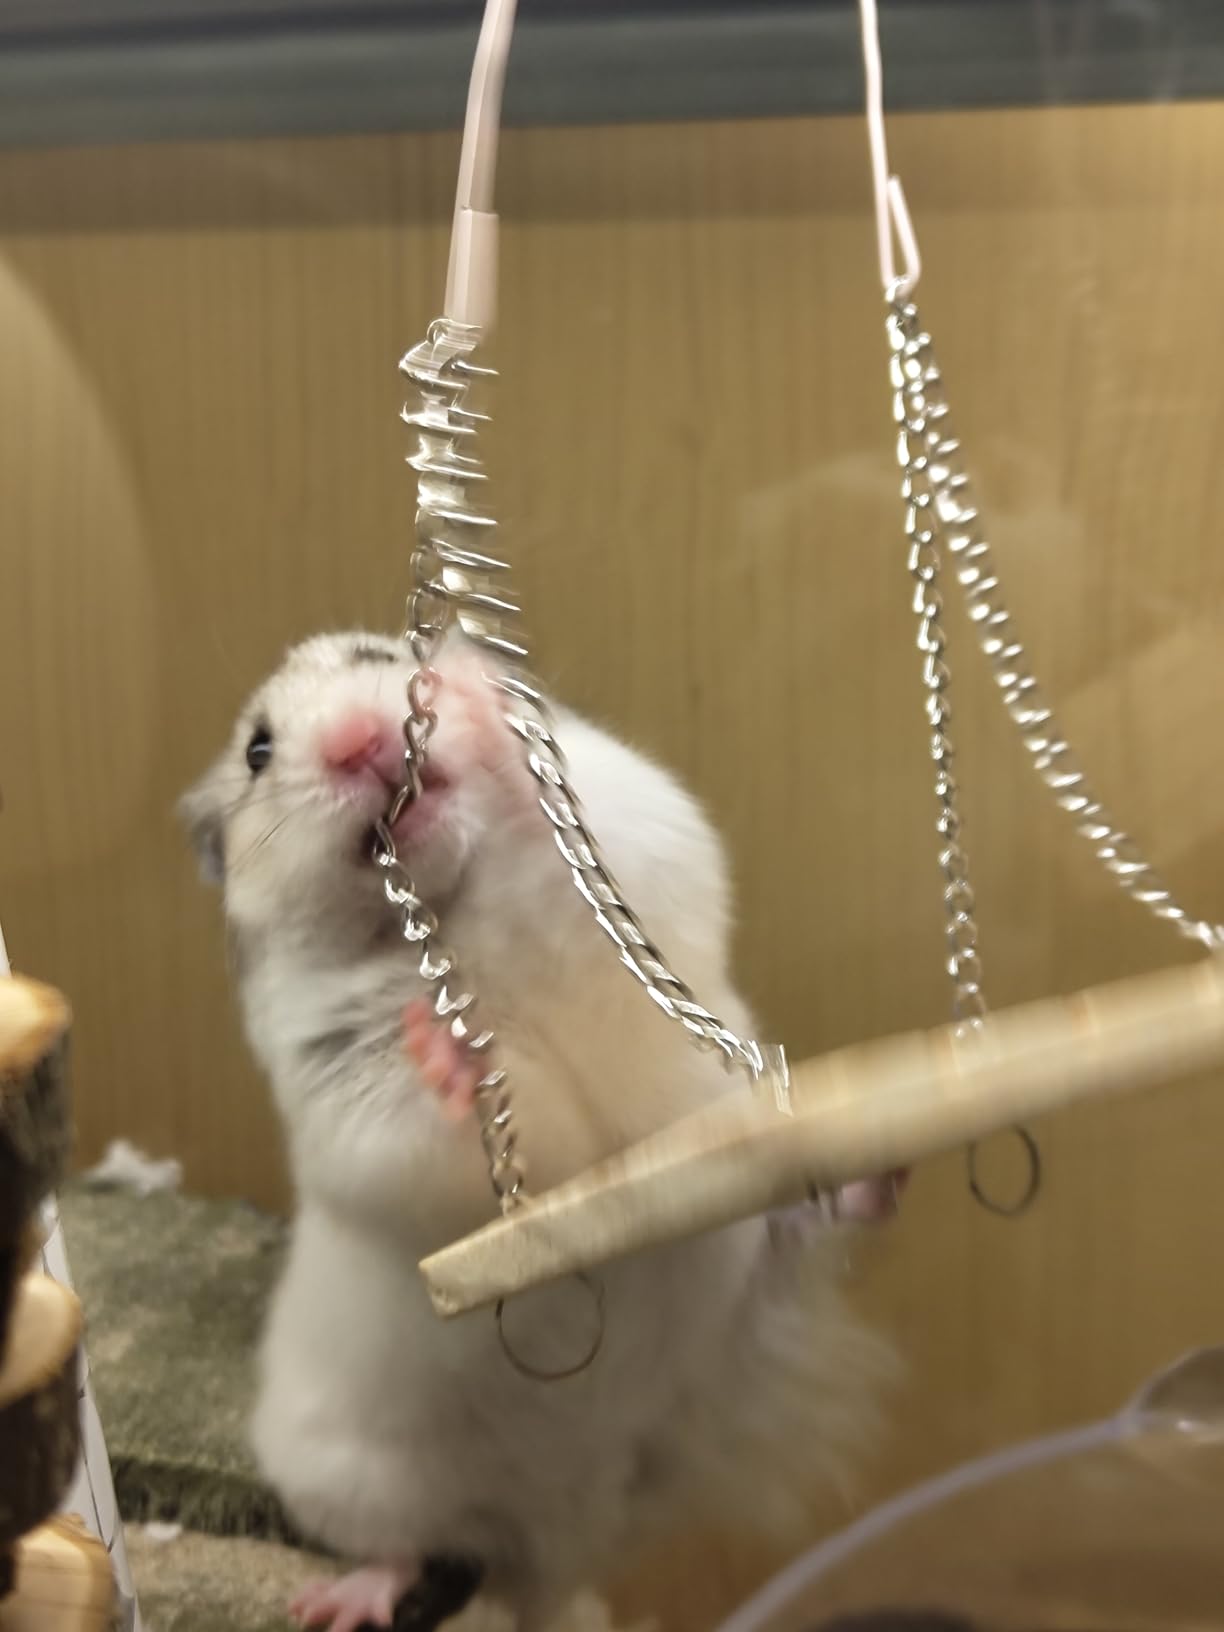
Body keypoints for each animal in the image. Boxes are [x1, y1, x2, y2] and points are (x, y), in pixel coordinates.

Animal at [181, 630, 897, 1632]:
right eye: (258, 750)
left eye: (380, 653)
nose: (361, 741)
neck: (450, 905)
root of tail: (563, 1542)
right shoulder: (343, 1083)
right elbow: (461, 1113)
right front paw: (448, 1047)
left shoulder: (638, 838)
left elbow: (597, 843)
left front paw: (470, 684)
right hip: (345, 1475)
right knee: (415, 1548)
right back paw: (340, 1603)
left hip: (739, 1315)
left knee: (805, 1227)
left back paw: (873, 1176)